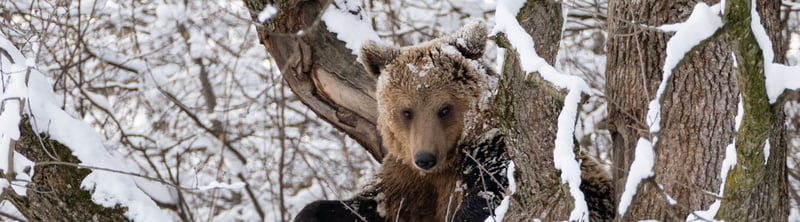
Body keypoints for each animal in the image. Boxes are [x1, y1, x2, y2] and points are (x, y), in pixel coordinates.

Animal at [294, 21, 612, 222]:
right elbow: (372, 204)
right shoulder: (406, 177)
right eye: (406, 111)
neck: (448, 162)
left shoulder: (488, 159)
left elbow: (483, 199)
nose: (425, 158)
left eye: (444, 109)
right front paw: (312, 211)